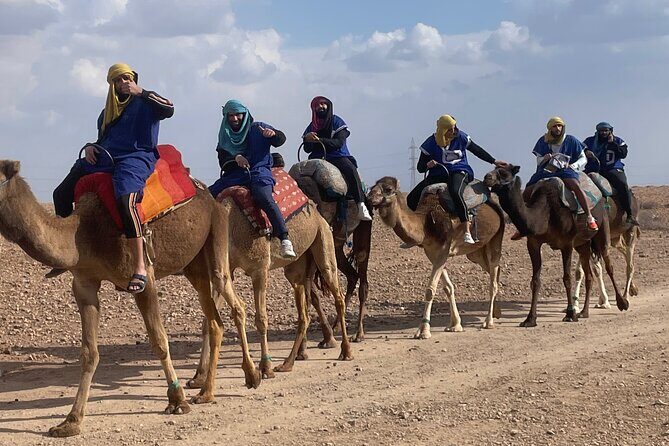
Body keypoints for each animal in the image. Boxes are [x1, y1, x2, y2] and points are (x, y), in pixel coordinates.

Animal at [0, 160, 260, 438]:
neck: (83, 234)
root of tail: (210, 196)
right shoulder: (84, 284)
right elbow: (89, 352)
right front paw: (70, 421)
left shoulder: (144, 280)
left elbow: (159, 341)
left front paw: (177, 400)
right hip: (193, 264)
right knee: (214, 321)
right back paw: (206, 391)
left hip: (217, 232)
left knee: (231, 296)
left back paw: (252, 375)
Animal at [186, 197, 354, 391]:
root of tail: (318, 214)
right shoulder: (225, 269)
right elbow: (208, 321)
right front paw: (198, 377)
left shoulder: (259, 269)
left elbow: (261, 319)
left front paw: (265, 368)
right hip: (297, 267)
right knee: (303, 311)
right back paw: (288, 363)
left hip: (323, 241)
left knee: (337, 295)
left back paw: (346, 351)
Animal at [367, 176, 504, 338]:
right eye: (372, 187)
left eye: (388, 189)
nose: (369, 198)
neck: (426, 224)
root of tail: (495, 208)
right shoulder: (431, 252)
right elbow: (448, 288)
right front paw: (455, 325)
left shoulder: (444, 249)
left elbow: (430, 290)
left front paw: (424, 331)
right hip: (475, 252)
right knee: (494, 271)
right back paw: (497, 312)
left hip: (496, 239)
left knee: (493, 281)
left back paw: (489, 322)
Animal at [483, 164, 628, 326]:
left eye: (503, 173)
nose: (487, 177)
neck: (546, 212)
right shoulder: (533, 243)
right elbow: (535, 280)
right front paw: (530, 319)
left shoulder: (566, 243)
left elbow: (567, 278)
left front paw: (570, 314)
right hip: (582, 244)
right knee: (589, 275)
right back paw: (584, 312)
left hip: (602, 229)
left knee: (609, 264)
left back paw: (622, 303)